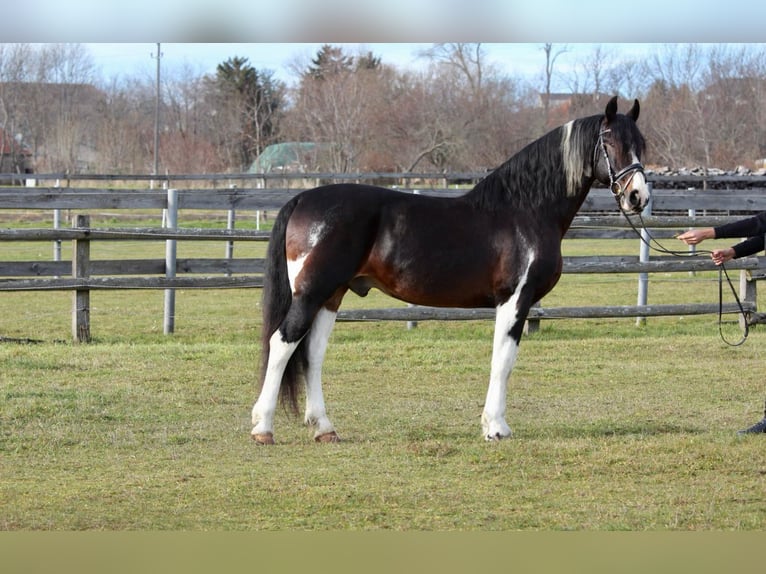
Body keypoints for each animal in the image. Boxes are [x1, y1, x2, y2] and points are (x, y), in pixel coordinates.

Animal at [250, 95, 648, 446]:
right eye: (610, 141)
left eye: (641, 144)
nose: (637, 197)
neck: (525, 211)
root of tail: (303, 197)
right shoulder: (514, 300)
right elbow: (503, 361)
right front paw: (496, 428)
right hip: (312, 293)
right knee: (283, 343)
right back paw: (263, 428)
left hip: (332, 295)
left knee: (312, 353)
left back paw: (324, 428)